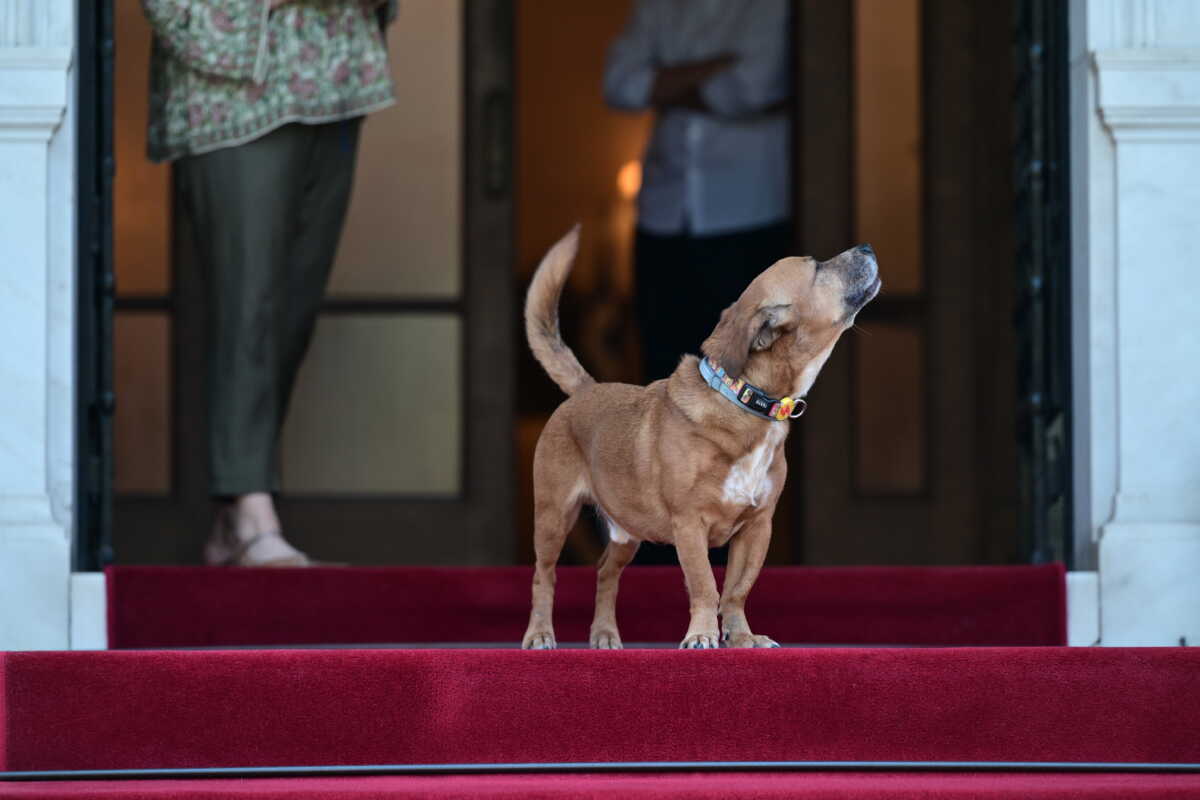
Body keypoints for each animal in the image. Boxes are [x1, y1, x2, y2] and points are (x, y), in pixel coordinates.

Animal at [520, 226, 878, 652]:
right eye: (817, 267)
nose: (868, 246)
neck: (745, 401)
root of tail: (585, 390)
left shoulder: (757, 527)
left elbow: (737, 590)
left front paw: (742, 637)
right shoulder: (689, 524)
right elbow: (706, 585)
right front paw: (702, 634)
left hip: (626, 531)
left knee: (606, 572)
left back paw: (605, 634)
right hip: (554, 517)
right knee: (544, 576)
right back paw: (540, 634)